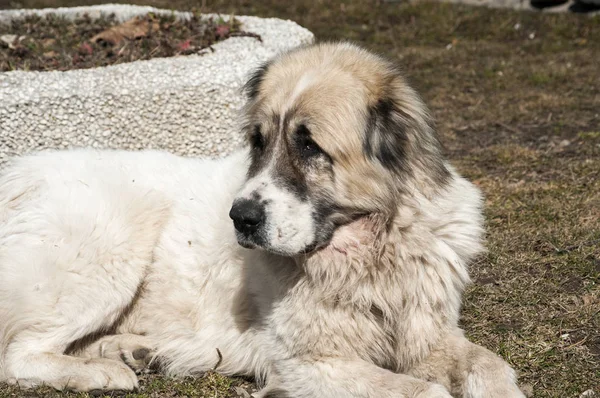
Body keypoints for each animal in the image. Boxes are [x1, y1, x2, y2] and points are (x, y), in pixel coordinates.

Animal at [0, 42, 524, 396]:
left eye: (308, 146)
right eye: (259, 141)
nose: (240, 217)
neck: (372, 252)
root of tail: (20, 174)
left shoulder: (429, 333)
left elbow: (489, 364)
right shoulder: (310, 361)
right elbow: (423, 389)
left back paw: (137, 351)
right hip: (110, 254)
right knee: (19, 355)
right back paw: (102, 372)